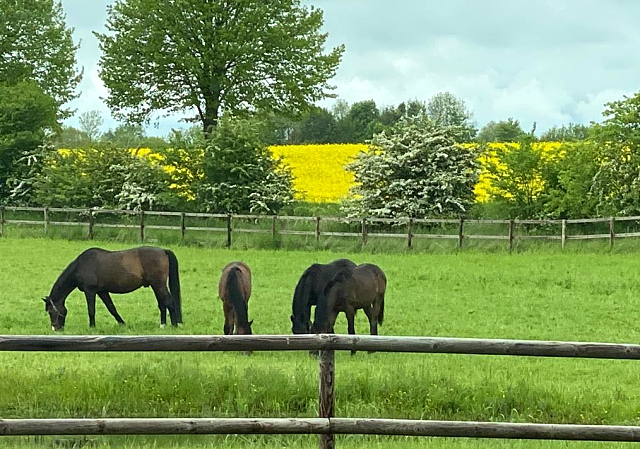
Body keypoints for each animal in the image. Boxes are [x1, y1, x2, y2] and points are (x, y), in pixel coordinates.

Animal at [42, 245, 182, 328]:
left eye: (51, 311)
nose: (55, 328)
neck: (81, 265)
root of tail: (163, 251)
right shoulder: (102, 291)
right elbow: (111, 308)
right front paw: (122, 323)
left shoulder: (90, 291)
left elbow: (91, 310)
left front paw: (92, 327)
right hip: (156, 285)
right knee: (162, 304)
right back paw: (163, 325)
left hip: (159, 285)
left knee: (169, 303)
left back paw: (174, 325)